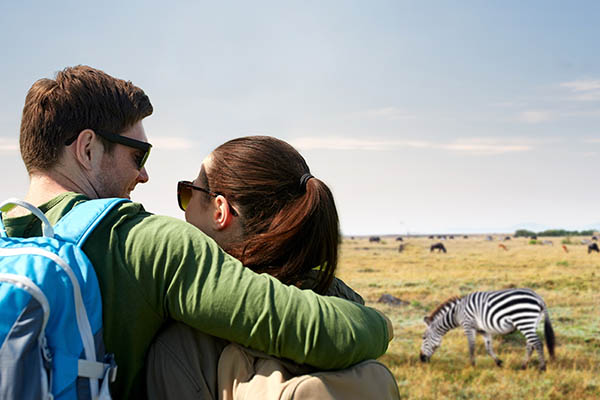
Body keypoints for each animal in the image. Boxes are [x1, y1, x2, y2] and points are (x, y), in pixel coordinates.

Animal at [420, 290, 556, 370]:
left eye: (424, 337)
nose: (421, 359)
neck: (456, 313)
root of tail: (539, 298)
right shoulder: (482, 330)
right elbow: (488, 347)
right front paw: (499, 362)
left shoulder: (468, 325)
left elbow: (471, 346)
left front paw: (472, 365)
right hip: (531, 323)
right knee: (530, 345)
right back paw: (523, 366)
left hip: (523, 320)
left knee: (537, 343)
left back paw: (542, 368)